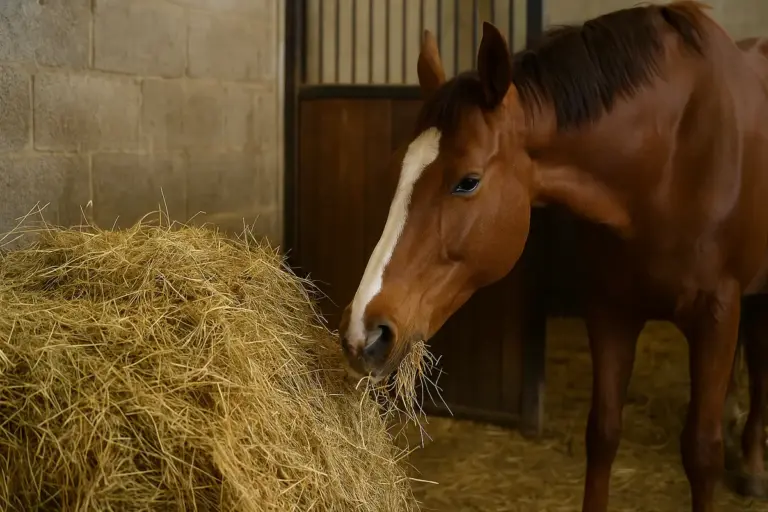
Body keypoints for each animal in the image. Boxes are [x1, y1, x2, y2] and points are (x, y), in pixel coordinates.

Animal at [337, 2, 768, 511]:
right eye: (396, 171)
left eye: (468, 181)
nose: (363, 333)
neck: (670, 159)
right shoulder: (609, 311)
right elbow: (603, 433)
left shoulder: (716, 316)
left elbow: (702, 453)